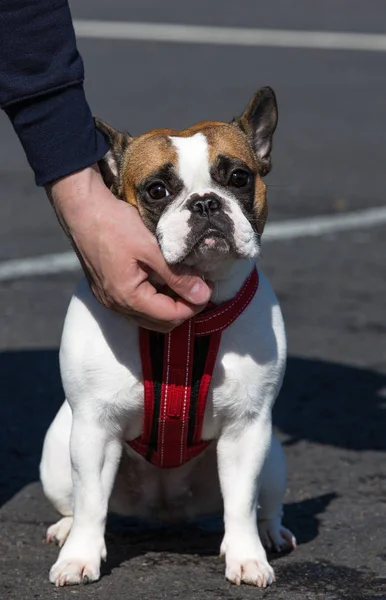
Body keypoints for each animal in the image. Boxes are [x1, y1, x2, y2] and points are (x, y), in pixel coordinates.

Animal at [40, 86, 296, 588]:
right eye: (157, 190)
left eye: (239, 178)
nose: (206, 203)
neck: (186, 327)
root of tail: (164, 510)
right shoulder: (94, 429)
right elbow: (91, 503)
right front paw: (80, 556)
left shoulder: (247, 430)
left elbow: (241, 503)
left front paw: (247, 557)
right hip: (58, 452)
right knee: (75, 501)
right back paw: (64, 529)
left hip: (274, 456)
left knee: (264, 504)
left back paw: (270, 534)